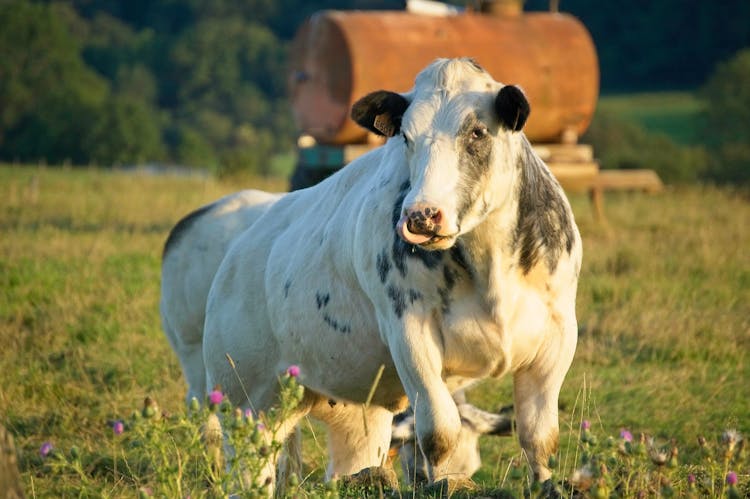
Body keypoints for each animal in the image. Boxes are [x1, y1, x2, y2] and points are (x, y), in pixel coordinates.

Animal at [200, 55, 580, 492]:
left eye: (477, 131)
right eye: (406, 137)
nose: (421, 216)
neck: (490, 268)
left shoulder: (557, 335)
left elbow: (539, 434)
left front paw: (548, 485)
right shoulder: (410, 333)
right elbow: (439, 430)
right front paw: (445, 484)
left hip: (351, 412)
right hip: (244, 401)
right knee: (249, 468)